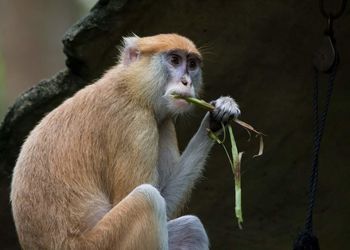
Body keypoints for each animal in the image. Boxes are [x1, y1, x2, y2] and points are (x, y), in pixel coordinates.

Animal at [10, 33, 241, 250]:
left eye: (192, 64)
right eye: (175, 60)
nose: (187, 82)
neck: (131, 86)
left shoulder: (163, 122)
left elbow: (167, 199)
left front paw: (219, 115)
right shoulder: (135, 122)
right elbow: (148, 196)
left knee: (191, 228)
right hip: (102, 242)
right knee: (148, 198)